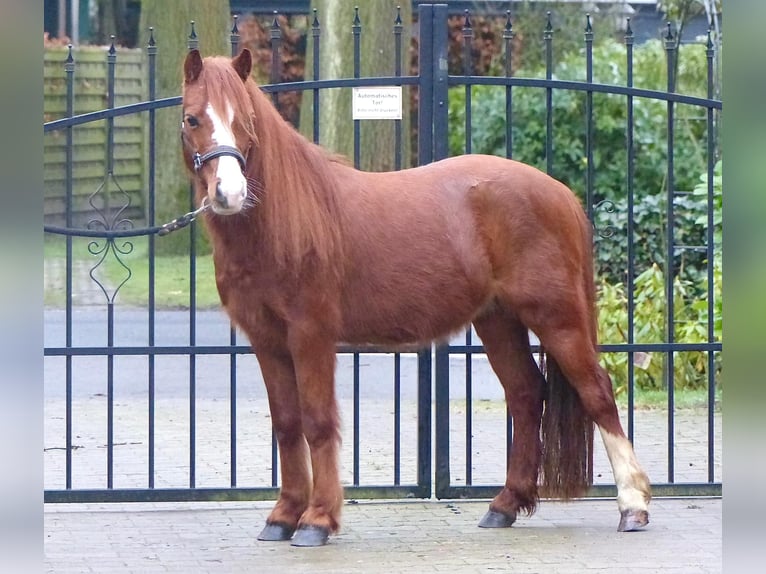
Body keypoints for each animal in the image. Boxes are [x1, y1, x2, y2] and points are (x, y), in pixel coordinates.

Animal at [182, 47, 656, 548]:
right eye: (192, 118)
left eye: (246, 118)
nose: (230, 193)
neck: (283, 220)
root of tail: (561, 194)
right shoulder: (266, 340)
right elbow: (287, 423)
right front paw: (283, 516)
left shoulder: (311, 335)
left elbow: (317, 420)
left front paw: (317, 520)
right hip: (498, 320)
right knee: (527, 393)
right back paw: (505, 505)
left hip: (557, 318)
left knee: (597, 393)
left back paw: (632, 506)